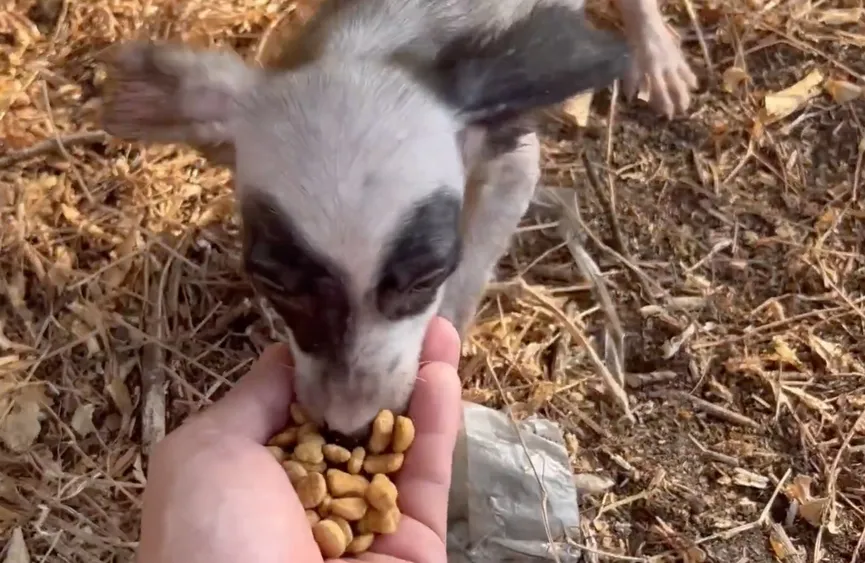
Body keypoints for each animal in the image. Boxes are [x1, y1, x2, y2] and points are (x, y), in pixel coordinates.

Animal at [103, 0, 668, 436]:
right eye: (274, 282)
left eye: (426, 278)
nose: (349, 427)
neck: (382, 39)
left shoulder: (514, 164)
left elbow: (466, 282)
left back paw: (658, 54)